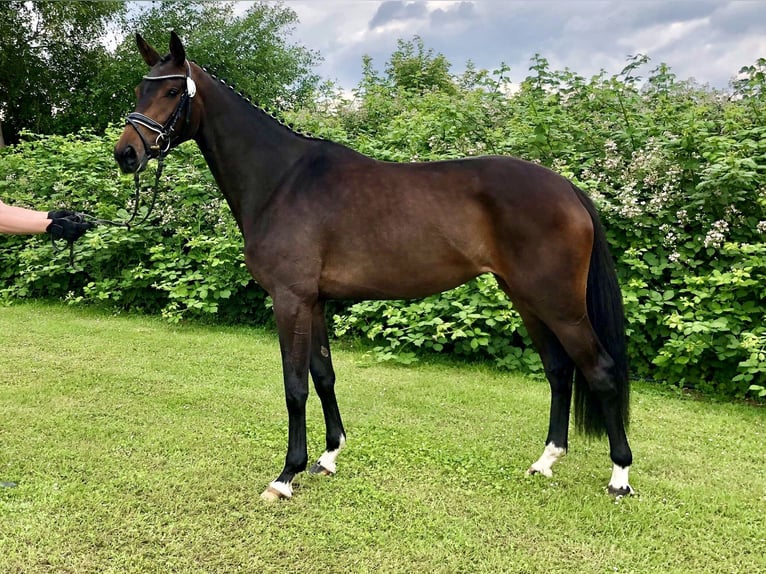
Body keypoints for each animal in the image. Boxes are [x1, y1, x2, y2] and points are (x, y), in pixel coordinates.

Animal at [111, 31, 632, 502]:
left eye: (172, 92)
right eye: (138, 90)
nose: (126, 153)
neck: (283, 180)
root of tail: (567, 189)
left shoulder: (290, 300)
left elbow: (295, 386)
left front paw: (286, 476)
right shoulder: (314, 302)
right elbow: (323, 376)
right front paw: (327, 457)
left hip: (559, 304)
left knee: (600, 370)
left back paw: (620, 477)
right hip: (526, 298)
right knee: (559, 371)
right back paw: (545, 461)